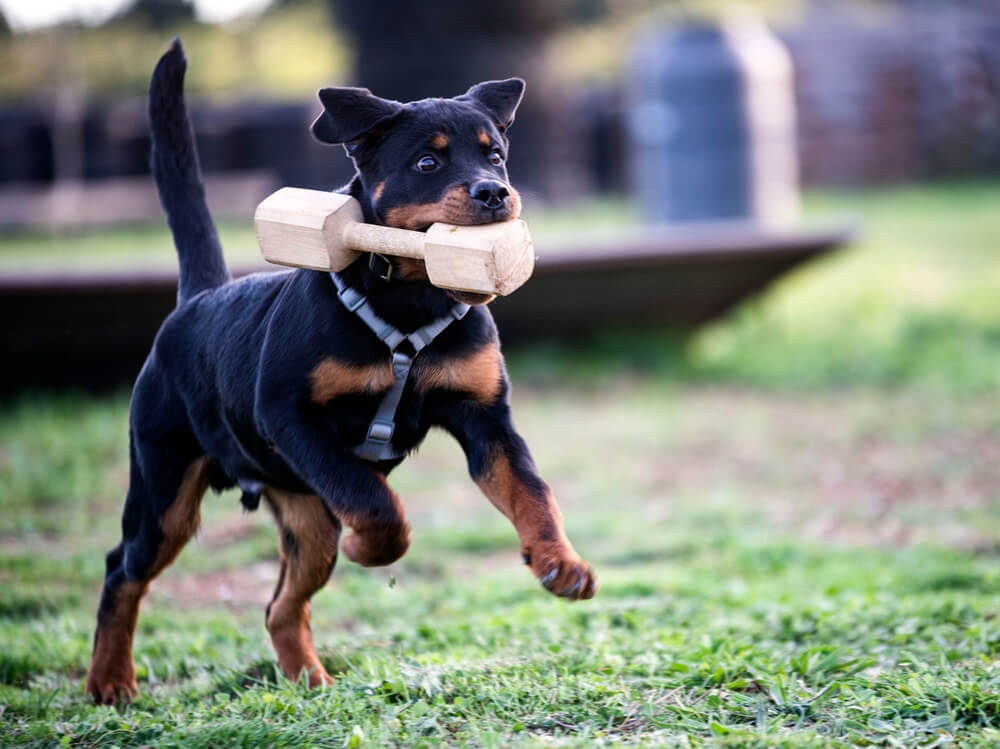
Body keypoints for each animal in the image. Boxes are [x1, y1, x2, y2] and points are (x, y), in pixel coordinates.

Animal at [84, 39, 592, 708]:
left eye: (497, 156)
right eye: (428, 163)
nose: (494, 193)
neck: (410, 301)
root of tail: (198, 299)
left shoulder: (487, 421)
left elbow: (533, 491)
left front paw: (560, 563)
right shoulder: (292, 417)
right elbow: (378, 506)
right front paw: (369, 548)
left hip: (304, 512)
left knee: (279, 605)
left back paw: (309, 681)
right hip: (165, 485)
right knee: (123, 568)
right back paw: (110, 681)